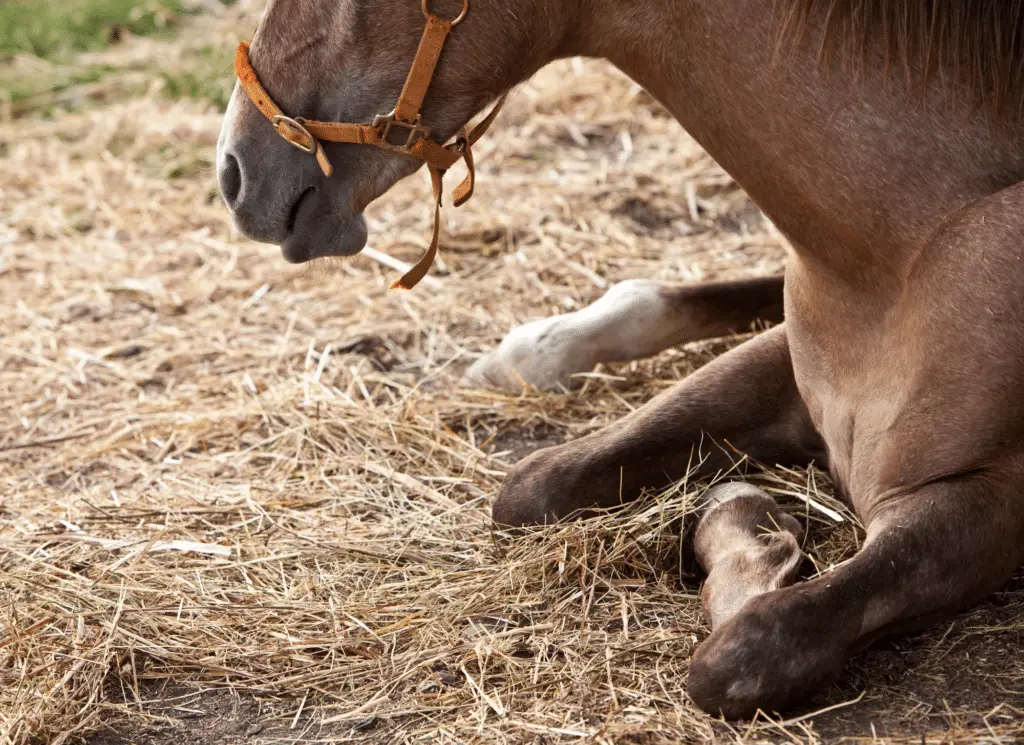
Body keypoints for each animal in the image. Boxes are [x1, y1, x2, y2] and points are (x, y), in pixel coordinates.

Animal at [211, 0, 1024, 720]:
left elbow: (743, 653)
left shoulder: (984, 505)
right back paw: (532, 352)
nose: (235, 171)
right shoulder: (782, 374)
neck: (908, 247)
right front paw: (748, 519)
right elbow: (535, 483)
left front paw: (759, 540)